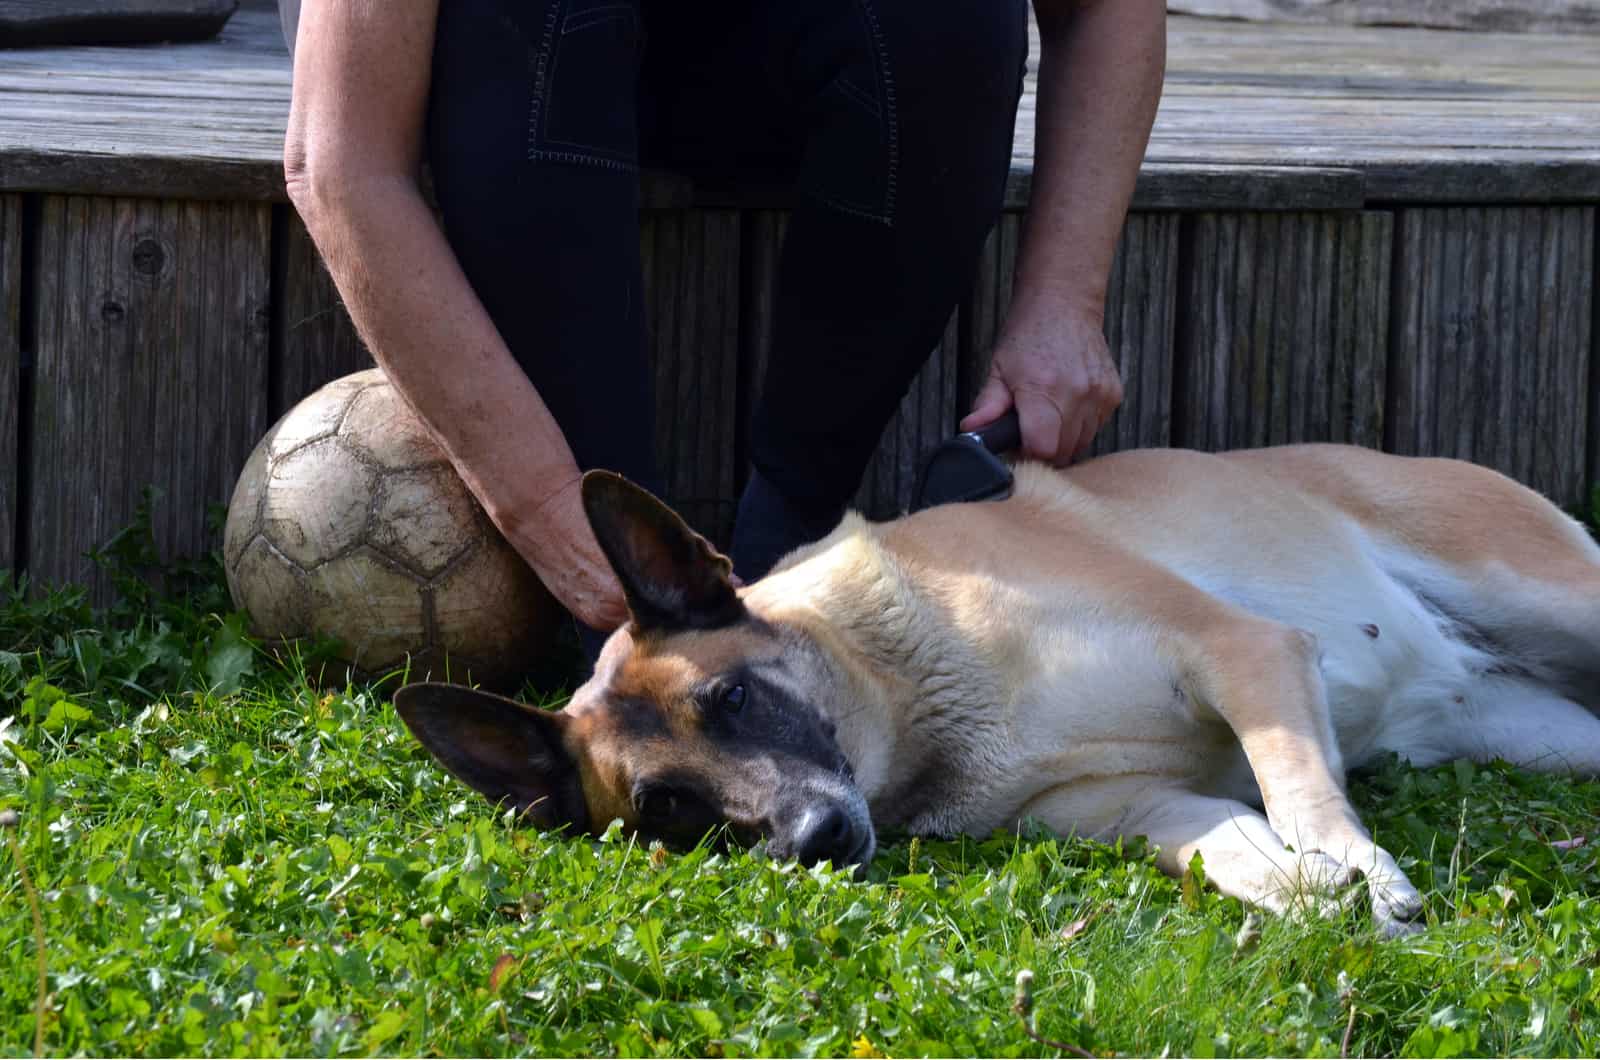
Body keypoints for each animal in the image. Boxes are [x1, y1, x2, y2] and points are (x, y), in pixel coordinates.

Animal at [396, 448, 1600, 941]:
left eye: (732, 700)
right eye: (667, 809)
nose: (818, 838)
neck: (923, 693)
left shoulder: (1243, 653)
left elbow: (1302, 792)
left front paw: (1363, 871)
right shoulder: (1162, 808)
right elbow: (1243, 849)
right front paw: (1320, 899)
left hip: (1551, 594)